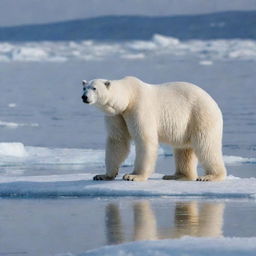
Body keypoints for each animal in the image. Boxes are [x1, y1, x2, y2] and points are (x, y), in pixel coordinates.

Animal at [81, 76, 226, 182]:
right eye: (83, 88)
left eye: (94, 88)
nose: (84, 97)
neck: (129, 97)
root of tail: (214, 103)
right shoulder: (117, 115)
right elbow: (117, 140)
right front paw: (103, 175)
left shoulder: (139, 108)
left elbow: (145, 139)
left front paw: (133, 175)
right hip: (187, 125)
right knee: (183, 150)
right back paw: (177, 175)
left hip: (199, 115)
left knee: (206, 146)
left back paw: (210, 176)